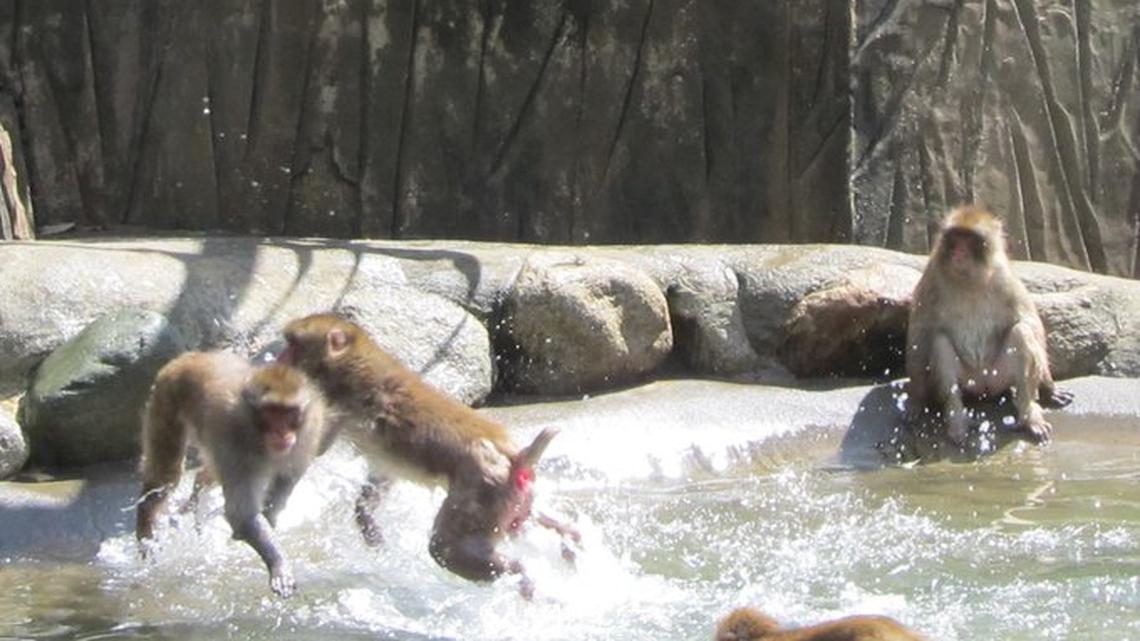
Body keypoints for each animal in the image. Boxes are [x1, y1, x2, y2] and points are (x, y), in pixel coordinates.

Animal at [136, 351, 331, 598]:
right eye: (271, 413)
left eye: (290, 413)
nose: (282, 433)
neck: (256, 433)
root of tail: (190, 357)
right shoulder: (231, 437)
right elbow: (241, 514)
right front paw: (278, 563)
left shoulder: (310, 433)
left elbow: (277, 497)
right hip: (166, 399)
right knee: (165, 477)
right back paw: (146, 531)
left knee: (208, 473)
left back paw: (196, 493)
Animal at [276, 313, 579, 594]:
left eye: (292, 344)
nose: (279, 358)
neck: (352, 364)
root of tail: (516, 457)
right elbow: (383, 473)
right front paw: (367, 520)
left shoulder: (338, 403)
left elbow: (316, 447)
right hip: (515, 498)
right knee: (531, 522)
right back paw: (568, 539)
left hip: (482, 495)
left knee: (443, 548)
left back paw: (521, 572)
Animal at [905, 206, 1072, 446]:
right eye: (955, 238)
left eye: (969, 240)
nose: (959, 252)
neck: (969, 280)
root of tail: (984, 388)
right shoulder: (932, 275)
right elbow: (920, 333)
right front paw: (916, 400)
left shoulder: (1004, 276)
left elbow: (1030, 322)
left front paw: (1049, 388)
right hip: (969, 382)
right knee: (940, 342)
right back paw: (958, 421)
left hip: (997, 377)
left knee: (1021, 332)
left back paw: (1029, 415)